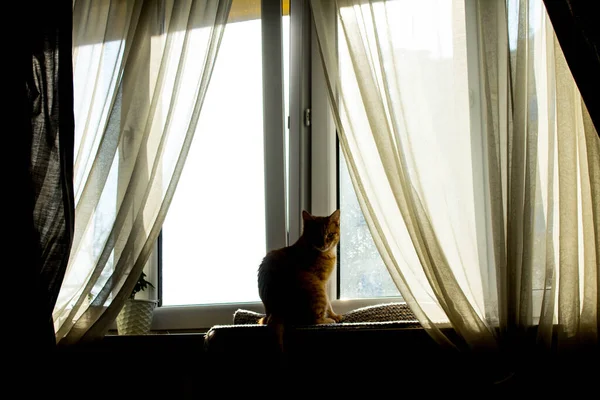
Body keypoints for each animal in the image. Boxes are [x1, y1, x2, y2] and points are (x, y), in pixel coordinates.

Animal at [258, 209, 342, 350]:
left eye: (330, 235)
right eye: (315, 235)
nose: (324, 244)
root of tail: (276, 310)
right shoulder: (322, 282)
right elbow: (329, 304)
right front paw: (334, 316)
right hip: (316, 288)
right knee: (314, 321)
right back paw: (329, 321)